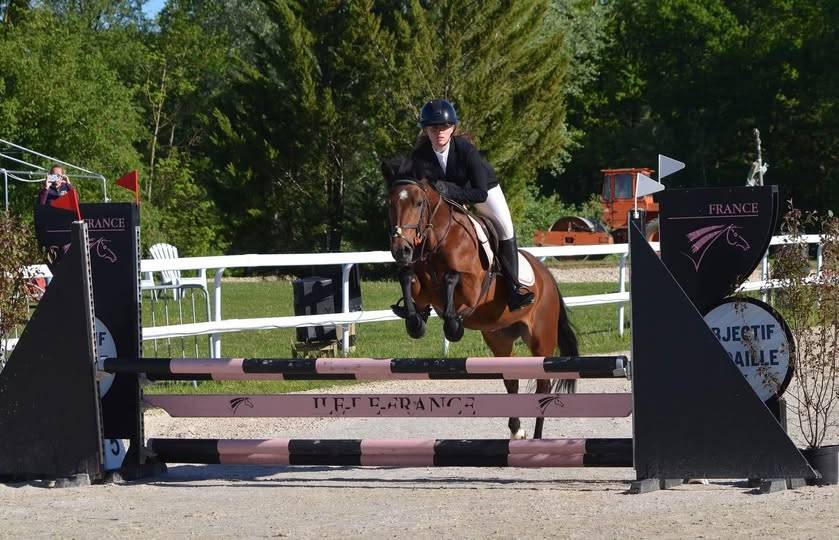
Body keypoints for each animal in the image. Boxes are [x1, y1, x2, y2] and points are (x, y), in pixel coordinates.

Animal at [382, 158, 578, 439]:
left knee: (543, 384)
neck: (437, 240)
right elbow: (407, 277)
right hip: (499, 338)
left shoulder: (473, 287)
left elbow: (452, 278)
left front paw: (453, 326)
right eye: (389, 203)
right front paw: (415, 322)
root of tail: (548, 277)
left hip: (541, 338)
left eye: (419, 203)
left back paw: (537, 437)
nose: (401, 250)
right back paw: (517, 431)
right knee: (511, 379)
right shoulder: (422, 285)